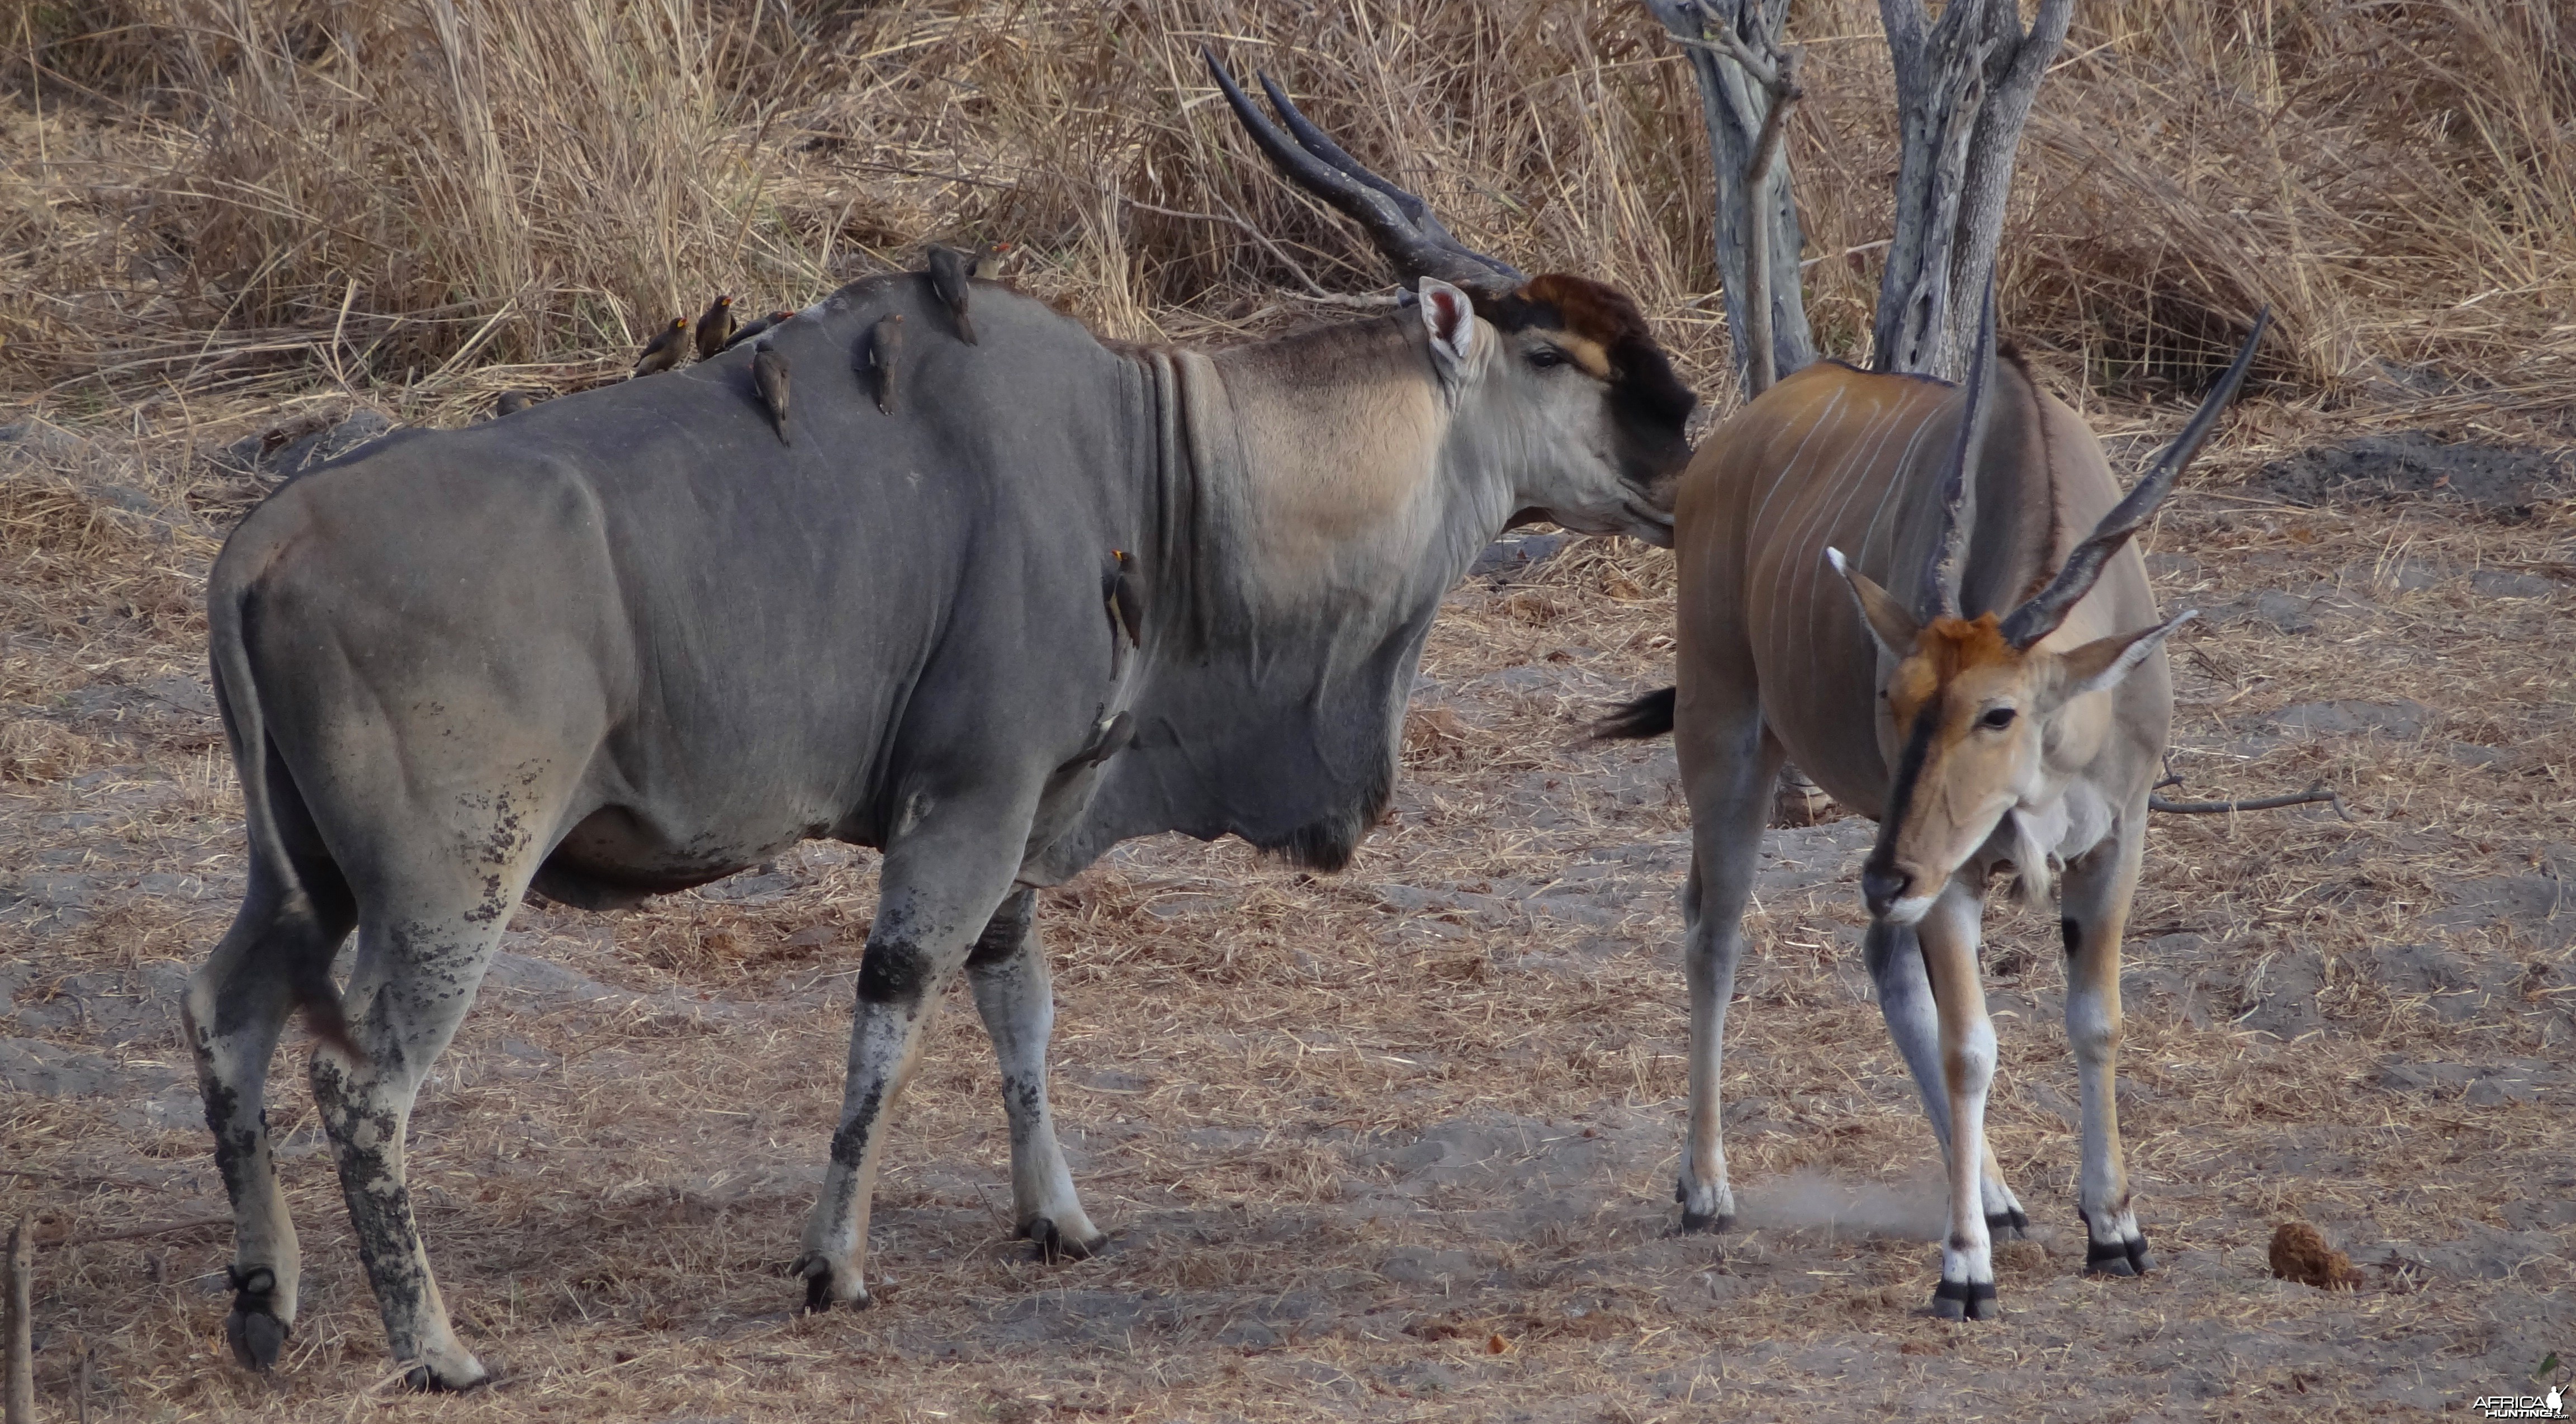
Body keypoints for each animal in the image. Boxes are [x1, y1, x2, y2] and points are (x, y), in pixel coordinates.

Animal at [190, 58, 1700, 1390]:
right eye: (1554, 351)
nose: (1687, 441)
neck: (1159, 459)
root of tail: (263, 544)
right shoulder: (968, 805)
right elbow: (901, 1000)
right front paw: (834, 1265)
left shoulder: (1024, 820)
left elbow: (1016, 996)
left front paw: (1057, 1219)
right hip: (454, 886)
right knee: (363, 1088)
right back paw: (436, 1348)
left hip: (304, 876)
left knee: (223, 1010)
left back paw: (267, 1302)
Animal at [1597, 302, 2267, 1318]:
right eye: (1895, 695)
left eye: (1997, 711)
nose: (1883, 873)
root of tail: (1731, 443)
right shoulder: (1952, 873)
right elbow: (1970, 1048)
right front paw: (1963, 1271)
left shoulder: (2113, 843)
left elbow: (2095, 1018)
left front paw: (2114, 1227)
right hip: (1727, 743)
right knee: (1714, 938)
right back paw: (1706, 1187)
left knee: (1878, 958)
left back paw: (1992, 1191)